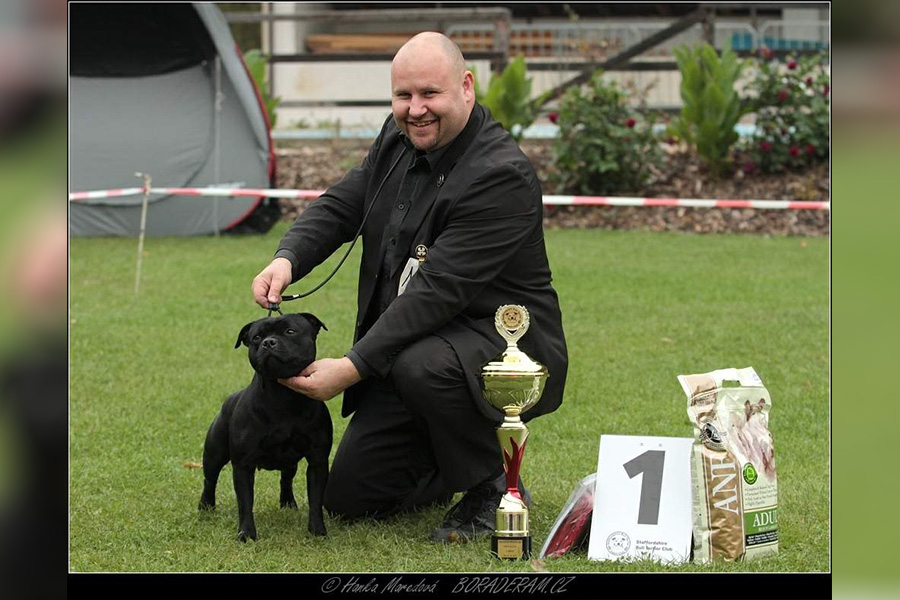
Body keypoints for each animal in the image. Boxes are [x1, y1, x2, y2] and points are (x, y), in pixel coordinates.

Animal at [199, 312, 332, 540]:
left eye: (290, 331)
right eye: (256, 337)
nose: (268, 342)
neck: (283, 396)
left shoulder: (318, 461)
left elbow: (315, 500)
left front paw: (317, 531)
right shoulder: (243, 465)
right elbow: (245, 502)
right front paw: (246, 534)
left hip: (290, 462)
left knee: (286, 479)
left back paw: (288, 504)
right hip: (214, 453)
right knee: (210, 479)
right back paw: (206, 506)